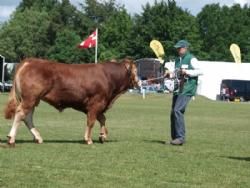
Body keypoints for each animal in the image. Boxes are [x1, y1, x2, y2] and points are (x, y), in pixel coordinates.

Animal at [3, 58, 140, 146]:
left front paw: (102, 136)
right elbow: (91, 121)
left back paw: (38, 138)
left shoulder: (98, 105)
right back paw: (11, 138)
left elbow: (102, 119)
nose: (139, 82)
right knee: (20, 114)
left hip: (33, 99)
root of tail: (30, 61)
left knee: (28, 117)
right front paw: (88, 139)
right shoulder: (96, 103)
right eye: (136, 71)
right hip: (30, 98)